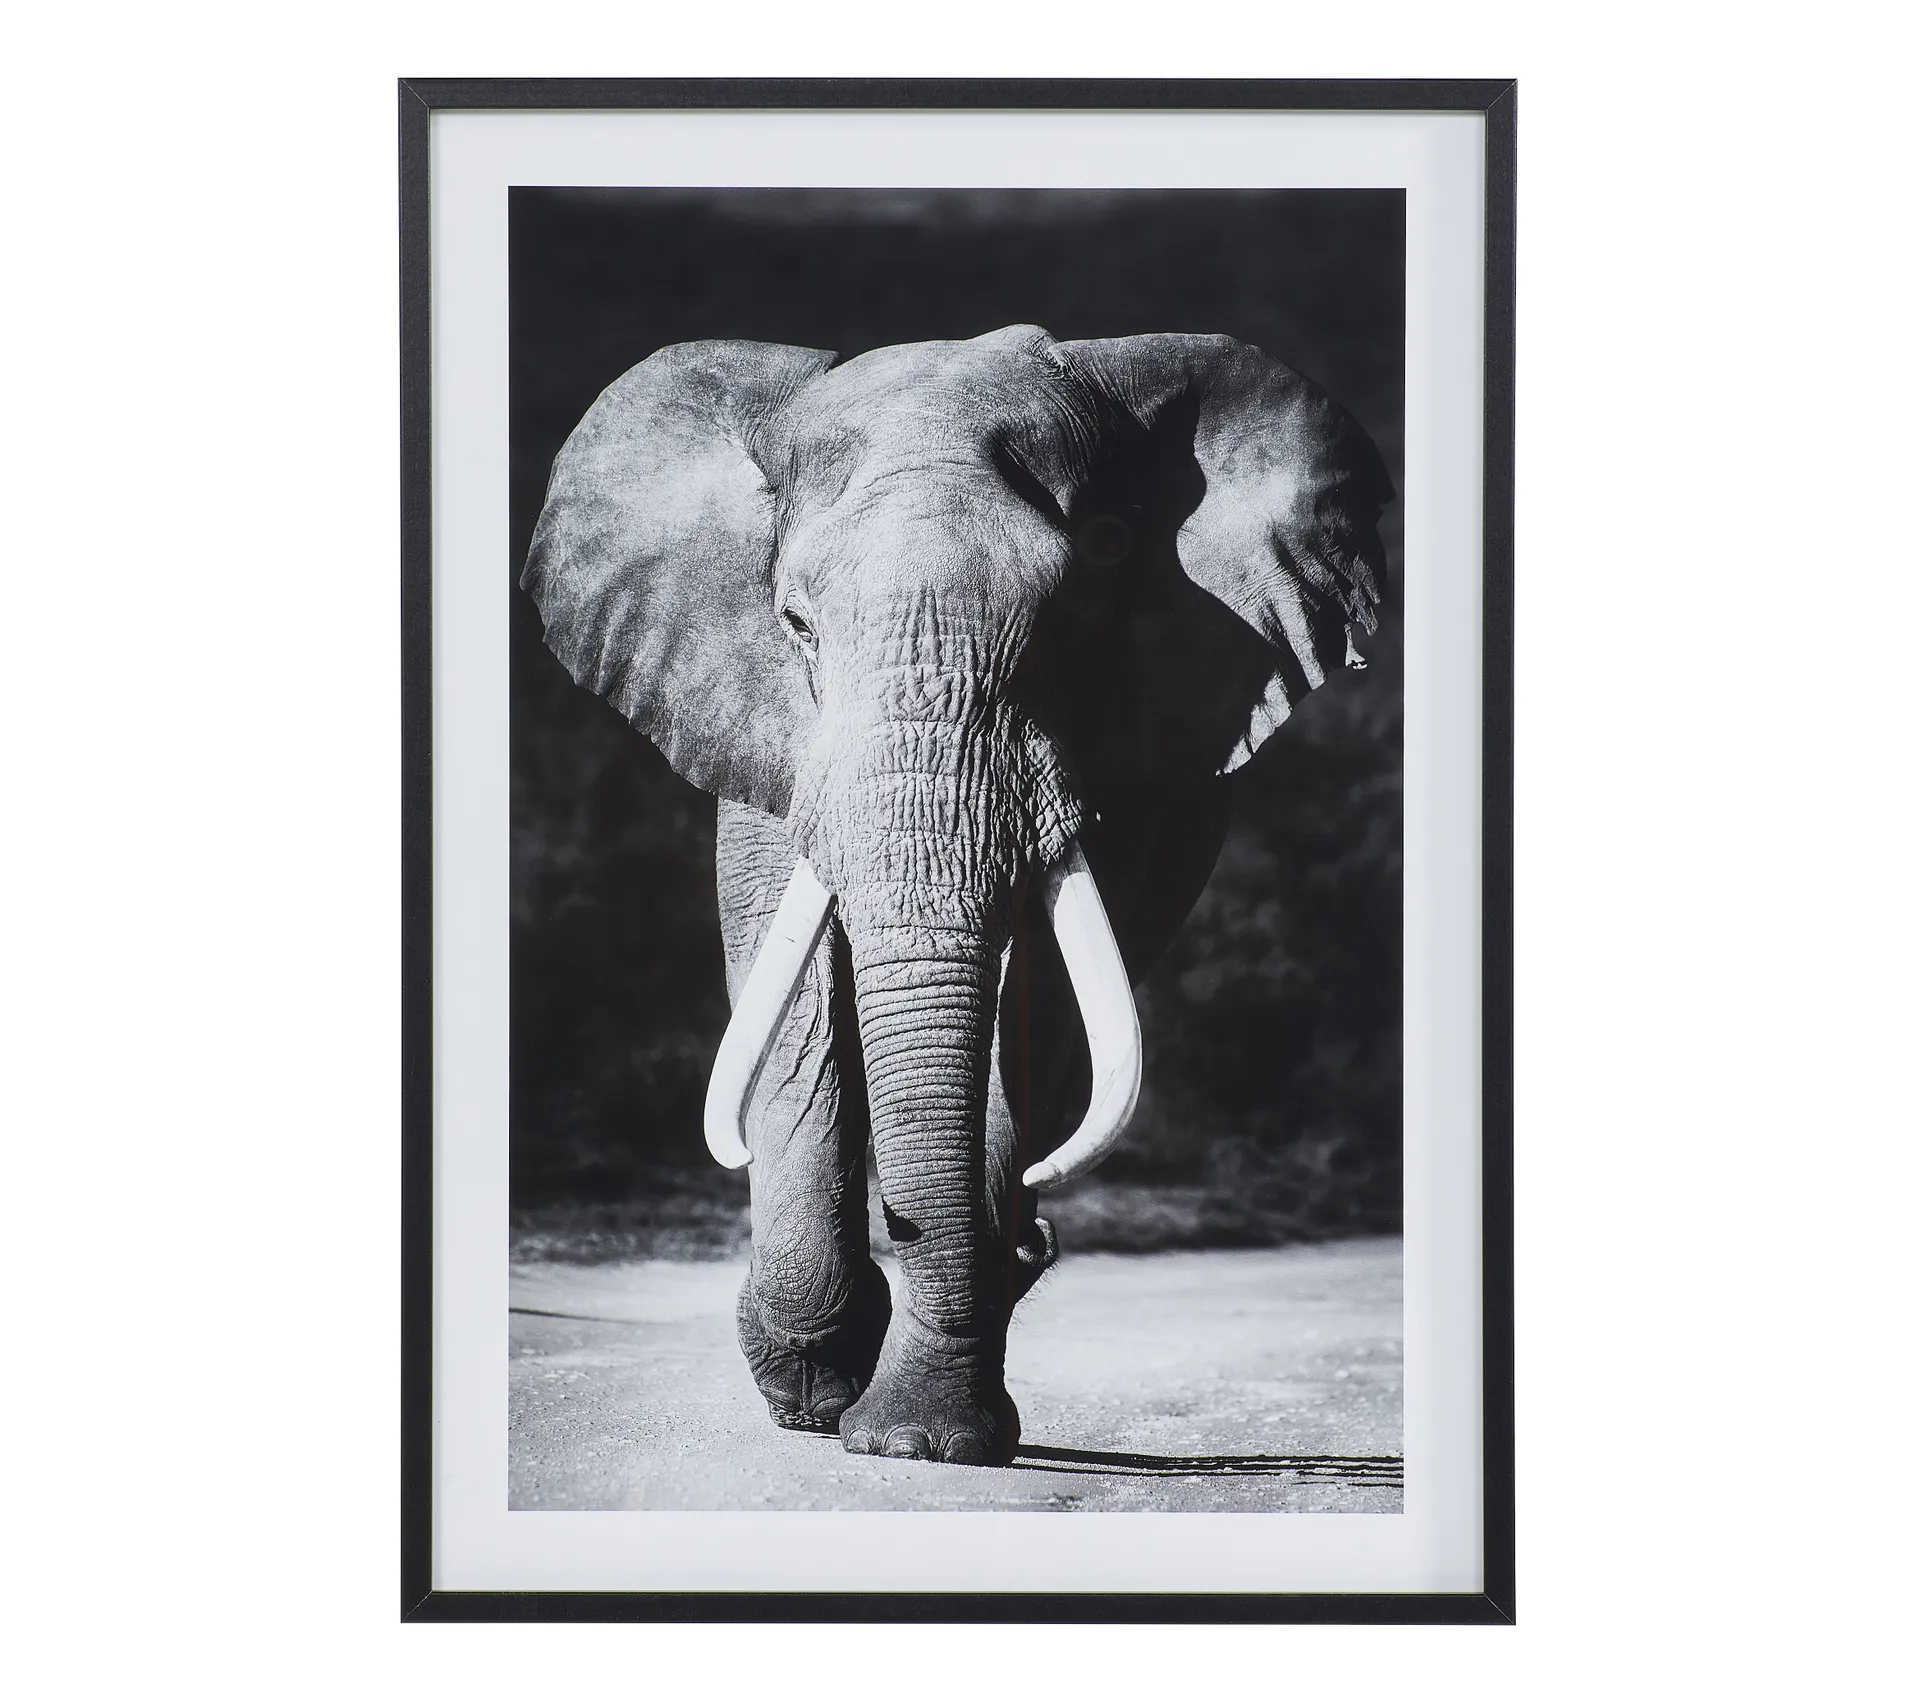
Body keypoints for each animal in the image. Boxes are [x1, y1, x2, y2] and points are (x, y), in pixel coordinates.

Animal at [521, 323, 1392, 1467]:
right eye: (796, 626)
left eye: (1070, 623)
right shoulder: (761, 719)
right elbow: (794, 985)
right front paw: (820, 1389)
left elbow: (1040, 1010)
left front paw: (918, 1438)